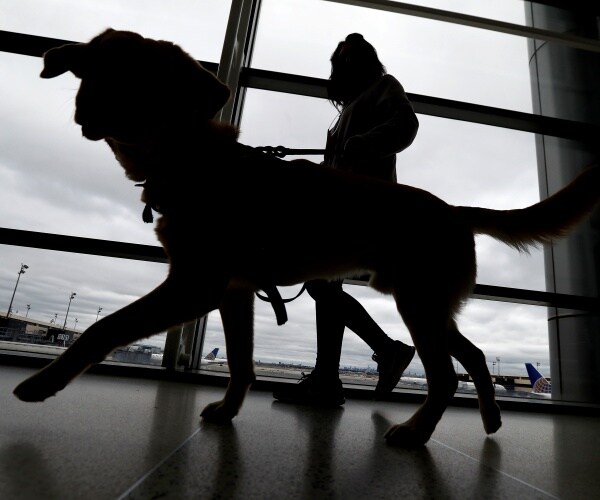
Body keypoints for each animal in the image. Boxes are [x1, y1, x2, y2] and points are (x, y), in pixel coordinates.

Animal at [12, 29, 600, 448]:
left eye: (140, 75)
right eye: (94, 67)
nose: (87, 109)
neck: (195, 160)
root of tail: (454, 210)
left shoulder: (195, 285)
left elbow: (103, 328)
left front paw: (42, 384)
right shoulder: (234, 292)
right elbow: (242, 360)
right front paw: (228, 410)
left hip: (419, 304)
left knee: (444, 376)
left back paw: (415, 432)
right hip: (428, 304)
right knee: (474, 356)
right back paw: (491, 418)